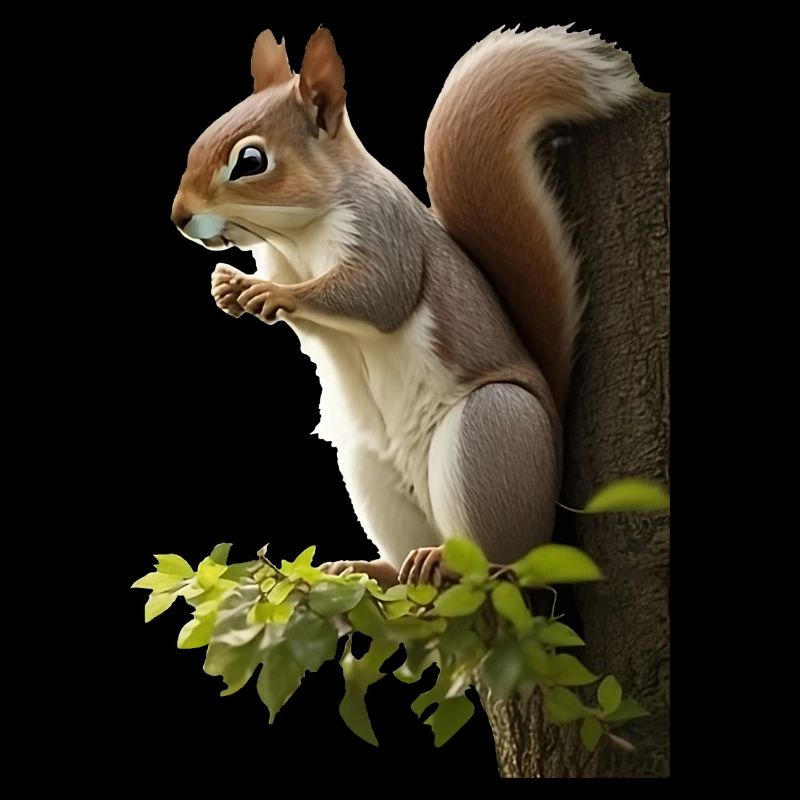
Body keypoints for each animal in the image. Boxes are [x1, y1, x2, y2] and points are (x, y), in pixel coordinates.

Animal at [171, 25, 644, 588]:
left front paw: (271, 294)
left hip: (494, 434)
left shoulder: (383, 231)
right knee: (402, 558)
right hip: (369, 469)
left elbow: (379, 295)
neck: (297, 236)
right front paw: (230, 289)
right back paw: (374, 566)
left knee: (497, 561)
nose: (179, 217)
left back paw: (456, 561)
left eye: (250, 162)